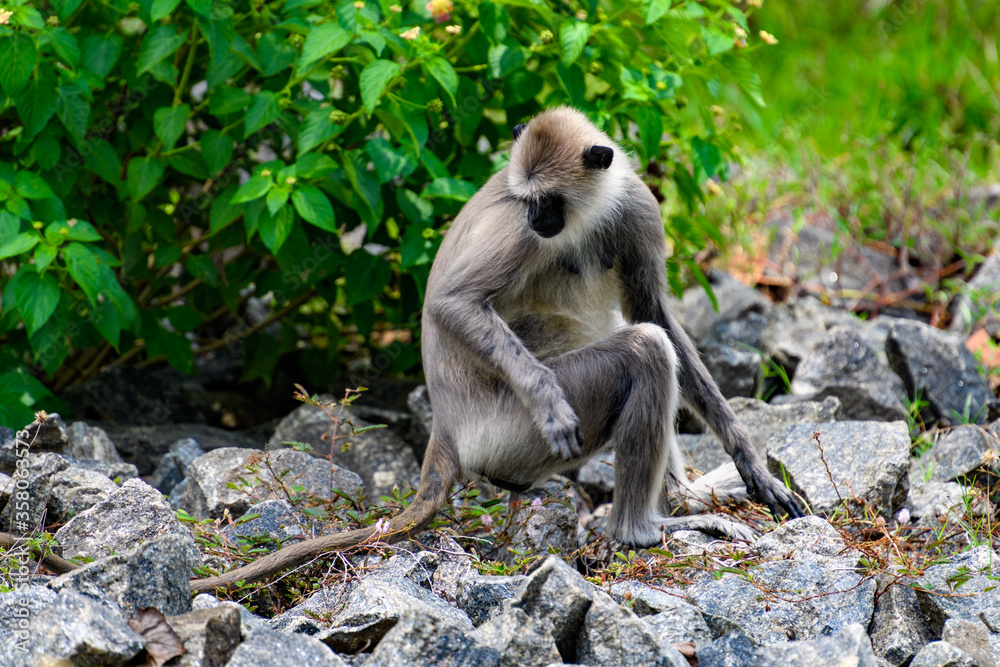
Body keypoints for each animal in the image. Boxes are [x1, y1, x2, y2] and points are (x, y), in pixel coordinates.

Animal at [0, 107, 800, 592]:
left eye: (550, 202)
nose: (539, 223)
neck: (578, 221)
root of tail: (446, 432)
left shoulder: (631, 205)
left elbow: (658, 308)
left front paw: (754, 469)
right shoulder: (515, 232)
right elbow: (453, 304)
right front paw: (548, 399)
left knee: (654, 344)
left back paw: (678, 502)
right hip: (505, 435)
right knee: (644, 353)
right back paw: (638, 532)